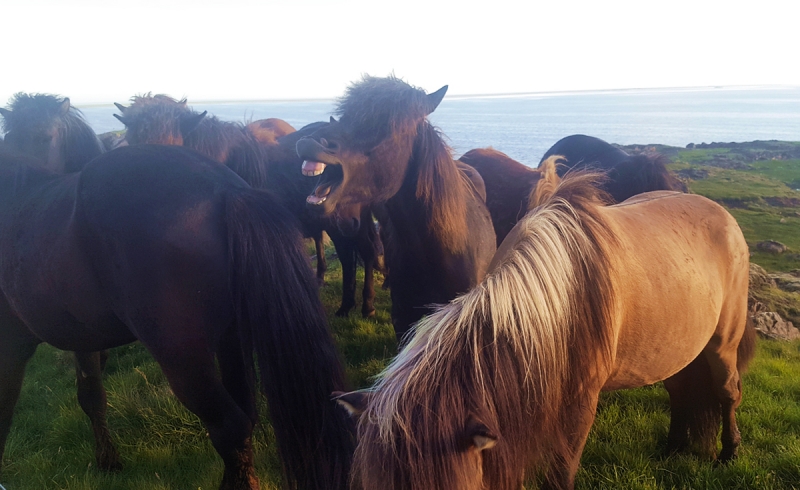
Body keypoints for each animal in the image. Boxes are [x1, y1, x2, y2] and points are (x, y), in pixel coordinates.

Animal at [0, 145, 354, 490]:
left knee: (230, 427)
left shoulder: (12, 350)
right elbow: (91, 396)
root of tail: (226, 189)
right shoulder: (82, 339)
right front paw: (108, 460)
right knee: (246, 415)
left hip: (183, 359)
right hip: (232, 340)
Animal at [113, 95, 384, 318]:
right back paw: (351, 306)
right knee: (353, 254)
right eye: (133, 143)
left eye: (172, 145)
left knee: (362, 251)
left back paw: (362, 306)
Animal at [336, 158, 756, 490]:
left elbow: (561, 474)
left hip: (722, 343)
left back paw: (729, 453)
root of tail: (723, 215)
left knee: (727, 391)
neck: (556, 300)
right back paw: (672, 449)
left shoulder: (580, 405)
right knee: (680, 391)